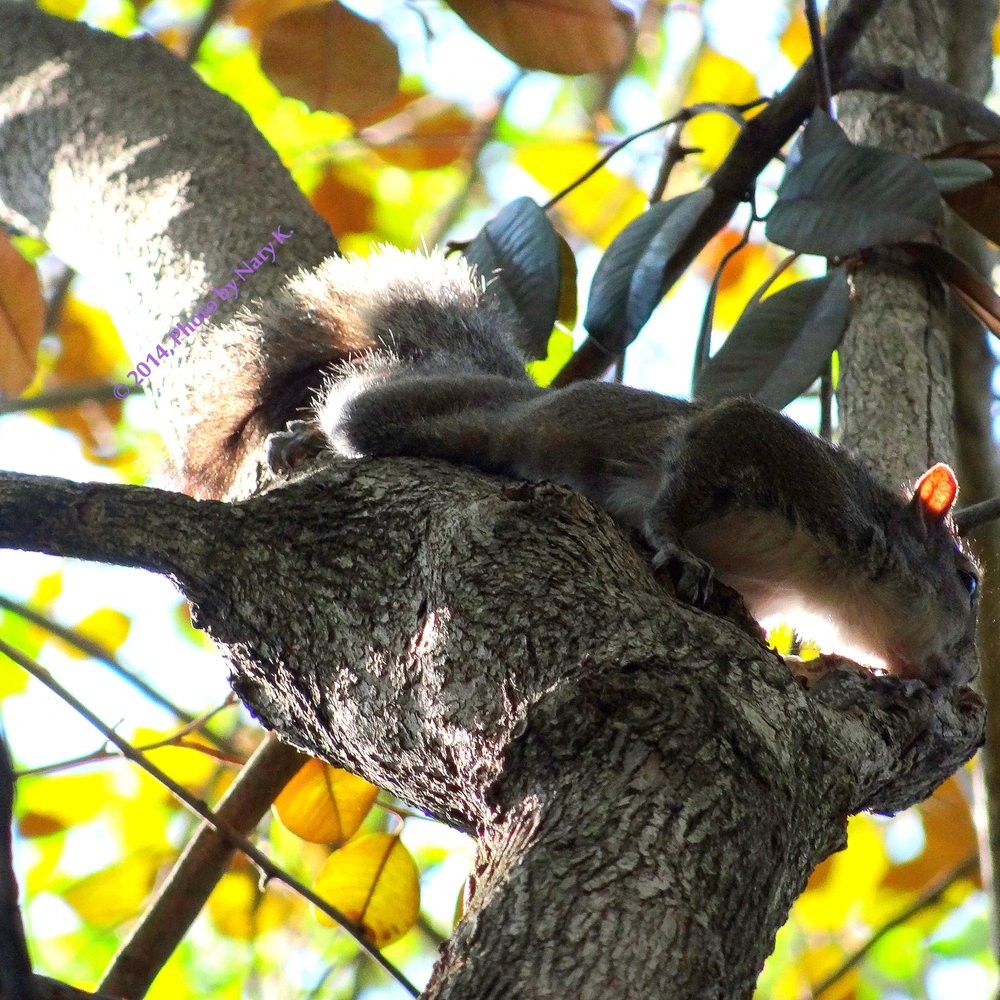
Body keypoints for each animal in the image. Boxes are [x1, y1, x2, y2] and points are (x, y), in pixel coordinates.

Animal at [188, 248, 980, 687]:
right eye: (969, 580)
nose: (964, 673)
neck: (822, 583)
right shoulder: (760, 446)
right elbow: (682, 486)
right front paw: (675, 548)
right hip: (444, 414)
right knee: (355, 405)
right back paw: (304, 439)